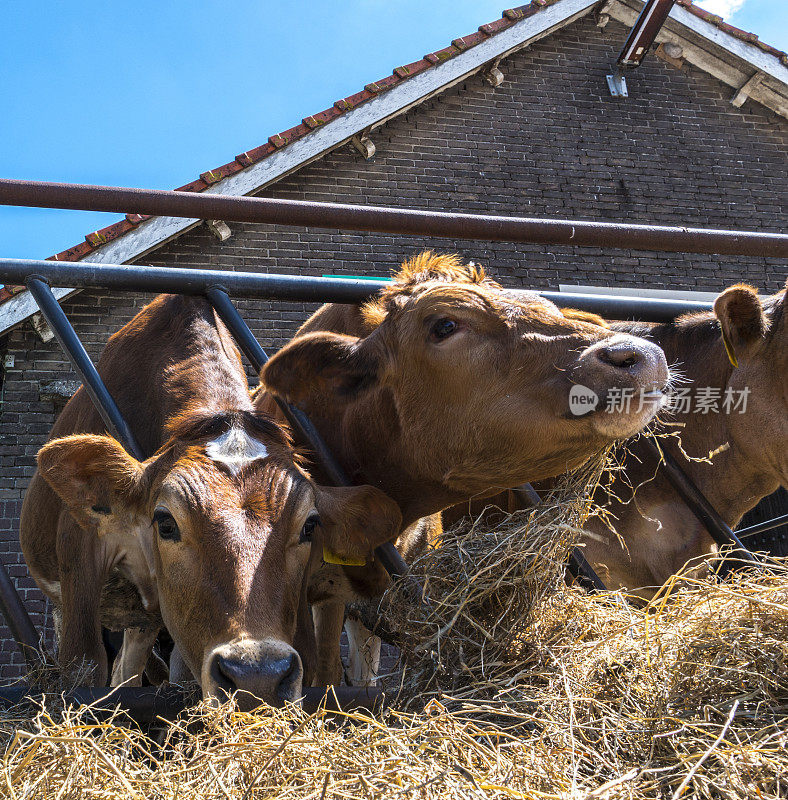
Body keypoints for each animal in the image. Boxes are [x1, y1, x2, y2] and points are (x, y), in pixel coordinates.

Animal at [18, 294, 400, 700]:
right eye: (165, 523)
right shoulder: (80, 542)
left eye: (310, 526)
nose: (256, 674)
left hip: (143, 620)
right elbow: (83, 666)